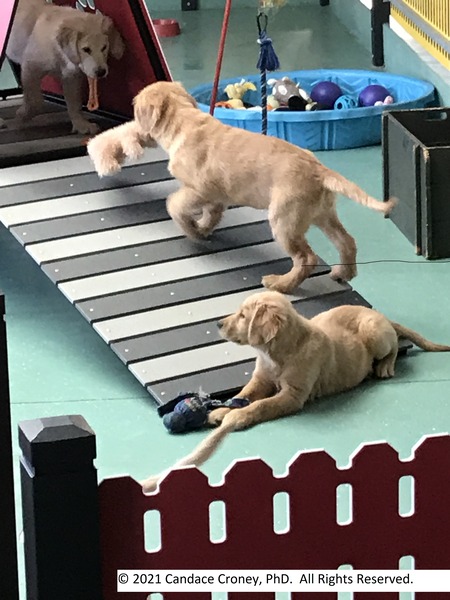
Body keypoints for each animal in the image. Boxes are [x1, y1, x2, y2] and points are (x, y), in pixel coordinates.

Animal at [88, 79, 398, 296]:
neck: (185, 122)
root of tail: (320, 170)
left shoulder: (198, 190)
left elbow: (174, 206)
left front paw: (192, 231)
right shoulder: (215, 196)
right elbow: (212, 214)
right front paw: (203, 229)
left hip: (284, 220)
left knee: (306, 258)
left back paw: (281, 284)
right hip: (322, 214)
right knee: (346, 241)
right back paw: (343, 274)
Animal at [142, 290, 450, 492]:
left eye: (243, 315)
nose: (217, 324)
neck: (276, 353)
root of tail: (378, 314)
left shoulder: (292, 395)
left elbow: (260, 405)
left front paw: (237, 416)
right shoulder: (261, 380)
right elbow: (243, 394)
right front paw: (221, 410)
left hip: (375, 334)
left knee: (395, 345)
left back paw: (385, 366)